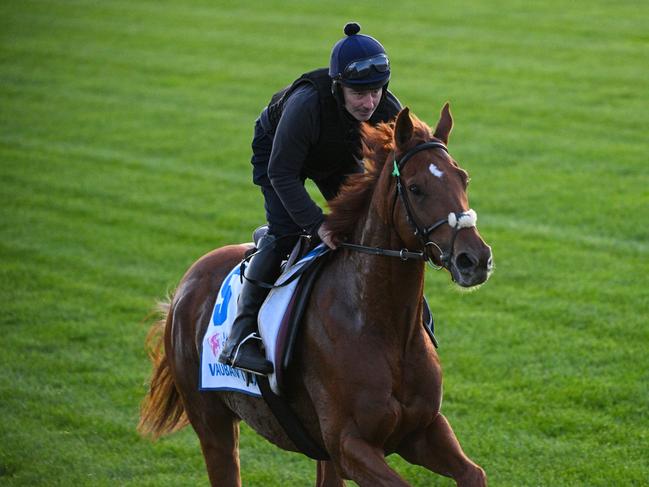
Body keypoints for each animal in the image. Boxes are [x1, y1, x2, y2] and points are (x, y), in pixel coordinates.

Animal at [137, 104, 492, 487]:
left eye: (463, 178)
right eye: (415, 188)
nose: (474, 259)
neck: (379, 324)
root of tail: (185, 285)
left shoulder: (422, 430)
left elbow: (474, 473)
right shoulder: (350, 444)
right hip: (212, 423)